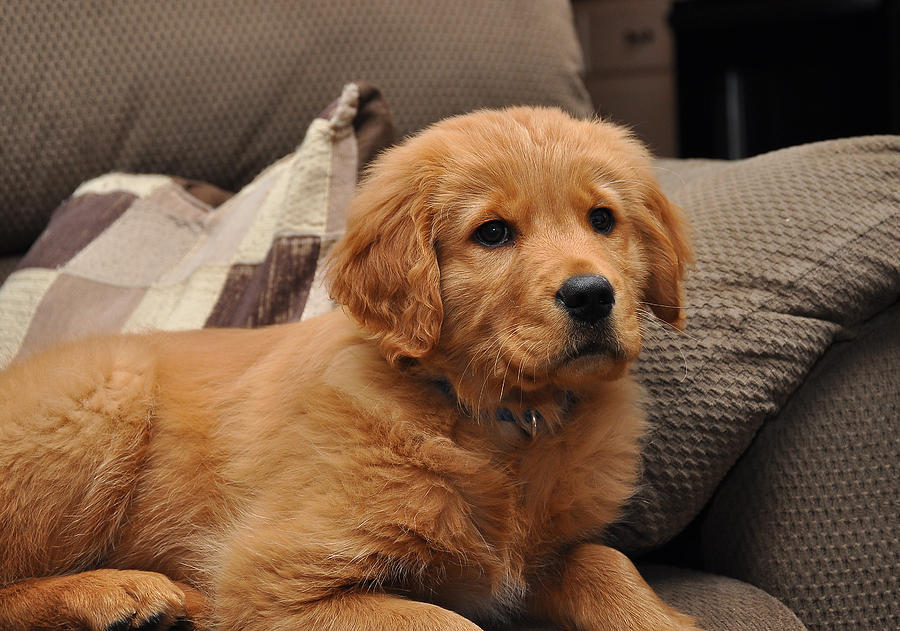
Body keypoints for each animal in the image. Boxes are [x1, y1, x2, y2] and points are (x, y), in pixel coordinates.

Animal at [0, 108, 696, 631]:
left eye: (603, 219)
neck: (495, 420)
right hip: (103, 402)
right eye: (493, 233)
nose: (592, 295)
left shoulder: (544, 556)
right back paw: (120, 595)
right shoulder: (274, 578)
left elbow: (607, 563)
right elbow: (446, 623)